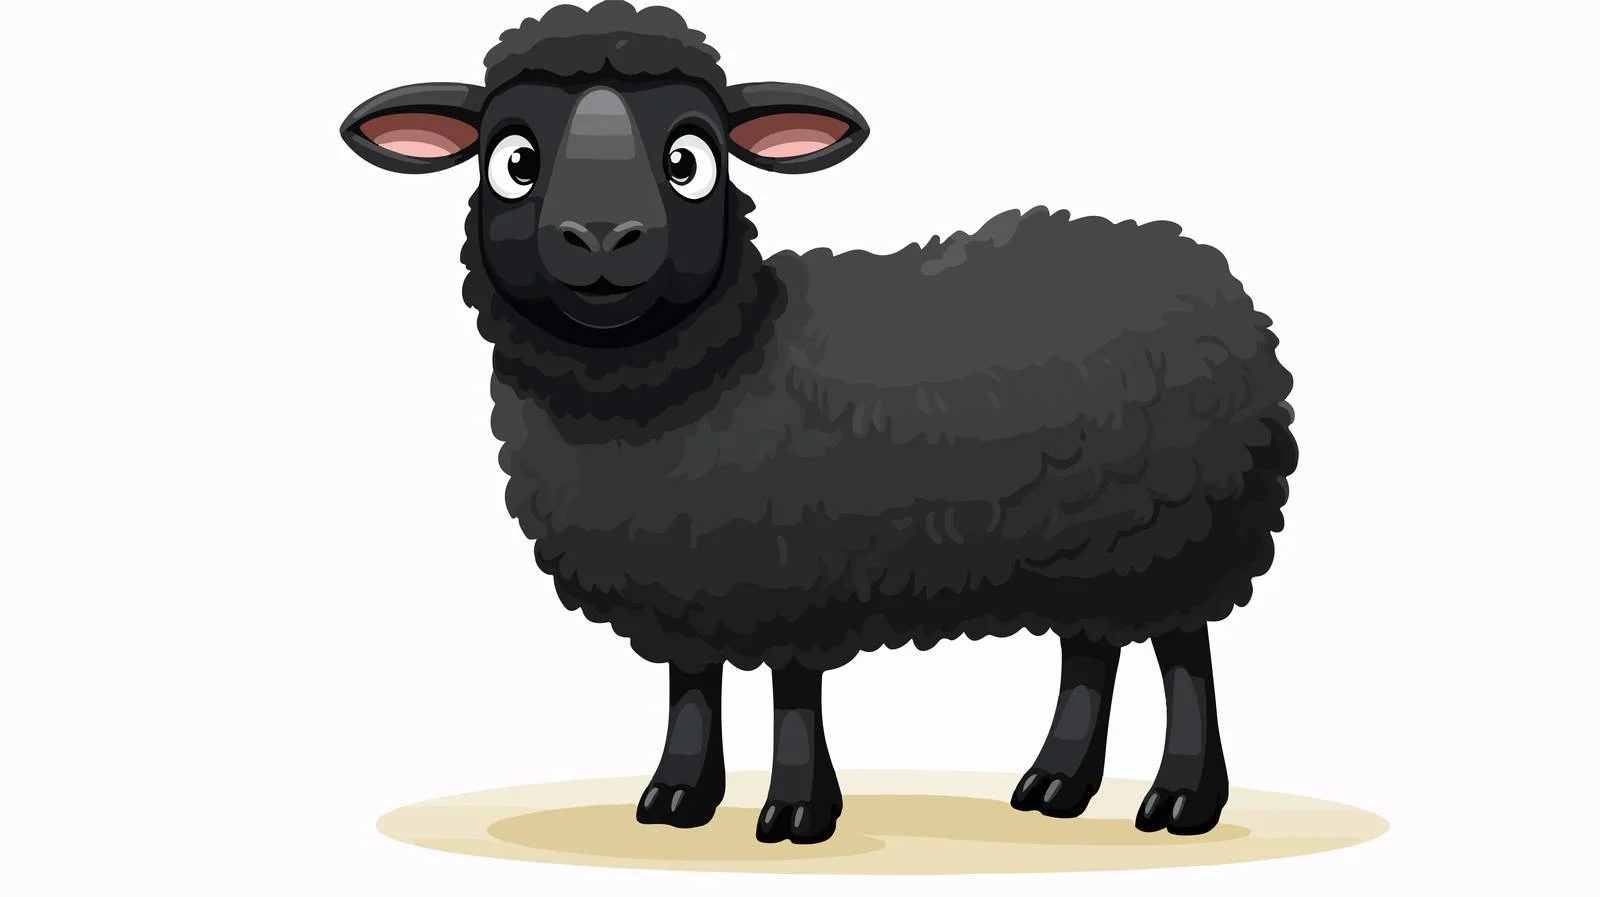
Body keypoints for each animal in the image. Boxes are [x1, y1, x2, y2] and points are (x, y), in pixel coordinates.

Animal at [339, 0, 1297, 846]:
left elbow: (793, 693)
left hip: (1185, 537)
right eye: (513, 159)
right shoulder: (684, 570)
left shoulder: (795, 565)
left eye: (690, 158)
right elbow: (692, 684)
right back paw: (1057, 783)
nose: (603, 235)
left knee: (1184, 656)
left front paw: (798, 810)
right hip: (1093, 547)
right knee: (1092, 650)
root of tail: (1203, 263)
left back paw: (1182, 798)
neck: (713, 367)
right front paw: (679, 795)